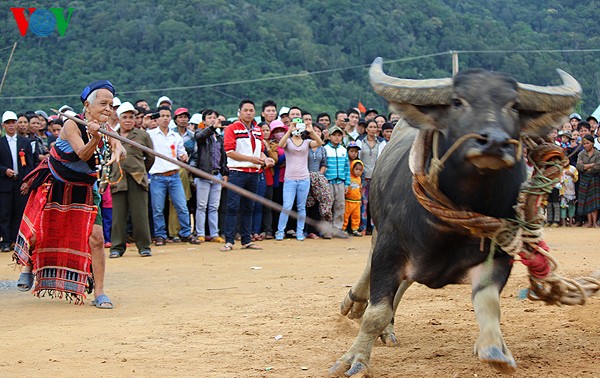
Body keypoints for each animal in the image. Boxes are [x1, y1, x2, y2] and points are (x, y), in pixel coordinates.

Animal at [328, 57, 580, 376]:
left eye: (513, 105)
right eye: (458, 102)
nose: (494, 142)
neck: (450, 227)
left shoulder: (498, 255)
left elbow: (489, 304)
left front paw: (495, 350)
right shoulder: (390, 247)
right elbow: (376, 311)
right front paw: (354, 359)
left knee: (404, 285)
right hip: (378, 228)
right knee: (371, 272)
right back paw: (355, 304)